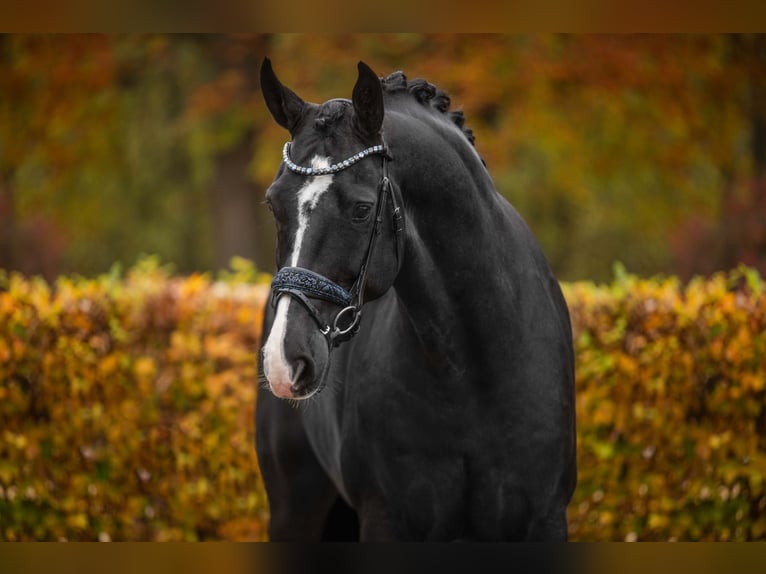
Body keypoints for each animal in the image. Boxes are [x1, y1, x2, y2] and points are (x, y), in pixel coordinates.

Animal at [255, 59, 580, 544]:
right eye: (274, 205)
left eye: (361, 209)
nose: (284, 361)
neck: (471, 371)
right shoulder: (386, 520)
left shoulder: (545, 519)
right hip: (294, 510)